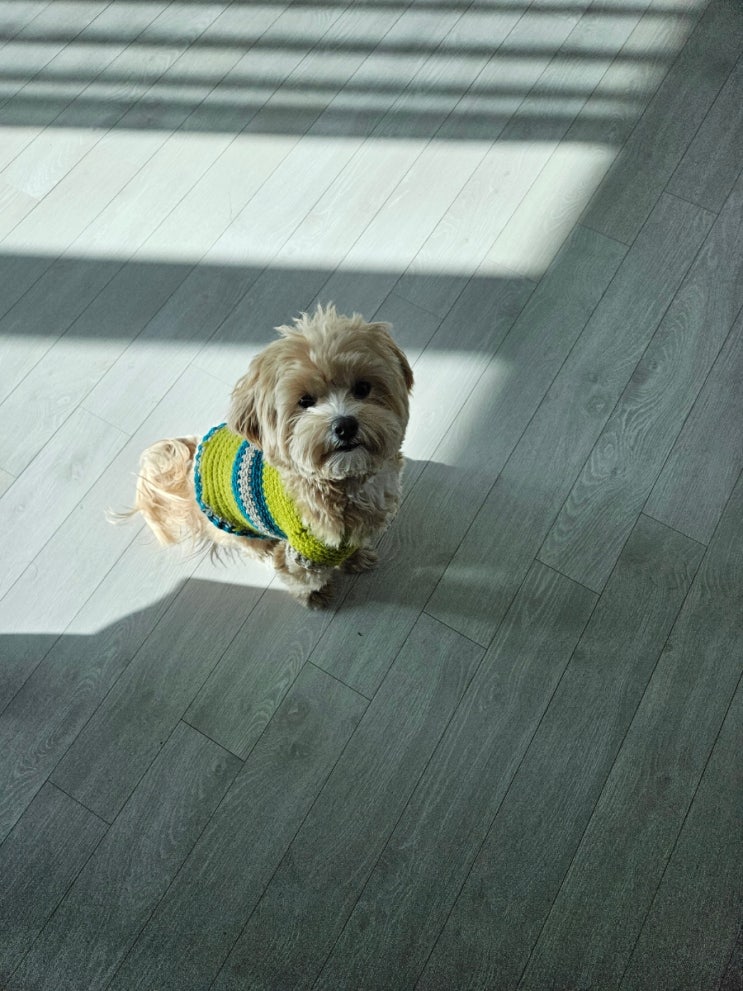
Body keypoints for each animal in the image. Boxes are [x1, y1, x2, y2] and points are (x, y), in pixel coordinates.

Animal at [126, 305, 414, 607]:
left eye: (362, 388)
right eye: (305, 401)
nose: (345, 426)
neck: (345, 482)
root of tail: (193, 459)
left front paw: (357, 559)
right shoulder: (303, 552)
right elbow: (303, 578)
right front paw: (315, 596)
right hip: (233, 527)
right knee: (251, 546)